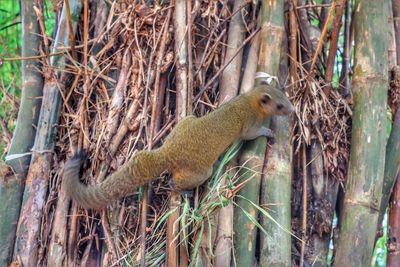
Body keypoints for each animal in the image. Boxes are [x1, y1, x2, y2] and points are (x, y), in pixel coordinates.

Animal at [63, 85, 294, 210]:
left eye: (286, 97)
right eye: (280, 106)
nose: (292, 110)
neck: (250, 100)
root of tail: (167, 152)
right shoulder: (248, 126)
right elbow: (251, 134)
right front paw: (267, 131)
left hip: (188, 119)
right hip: (200, 171)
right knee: (174, 182)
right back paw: (184, 191)